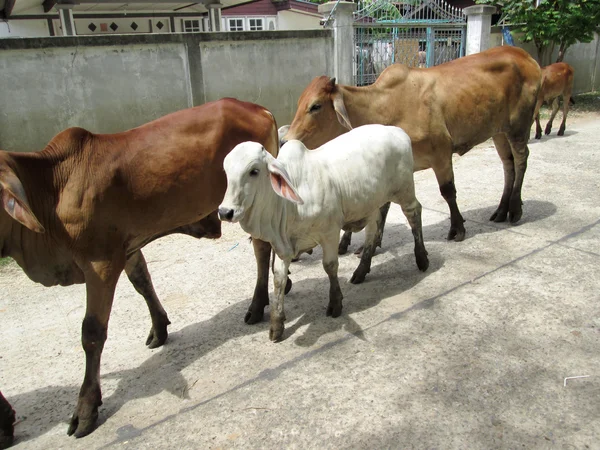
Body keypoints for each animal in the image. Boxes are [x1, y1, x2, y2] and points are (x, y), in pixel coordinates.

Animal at [0, 99, 282, 440]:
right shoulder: (128, 248)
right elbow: (142, 282)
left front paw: (86, 409)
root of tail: (257, 108)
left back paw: (258, 304)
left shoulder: (101, 263)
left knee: (261, 248)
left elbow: (91, 332)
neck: (53, 186)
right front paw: (159, 328)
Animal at [218, 124, 428, 342]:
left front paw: (335, 303)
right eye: (226, 171)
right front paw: (277, 324)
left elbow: (330, 266)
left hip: (404, 190)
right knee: (373, 231)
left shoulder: (329, 232)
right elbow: (278, 278)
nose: (225, 212)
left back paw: (422, 258)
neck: (286, 206)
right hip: (373, 204)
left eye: (254, 171)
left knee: (414, 213)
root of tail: (396, 130)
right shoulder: (283, 245)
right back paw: (361, 271)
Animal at [284, 46, 540, 250]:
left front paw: (457, 228)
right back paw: (501, 210)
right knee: (508, 165)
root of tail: (525, 56)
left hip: (518, 126)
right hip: (499, 132)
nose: (287, 139)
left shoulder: (441, 152)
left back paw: (515, 209)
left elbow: (448, 192)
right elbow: (383, 206)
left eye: (315, 106)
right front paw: (372, 242)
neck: (384, 108)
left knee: (521, 160)